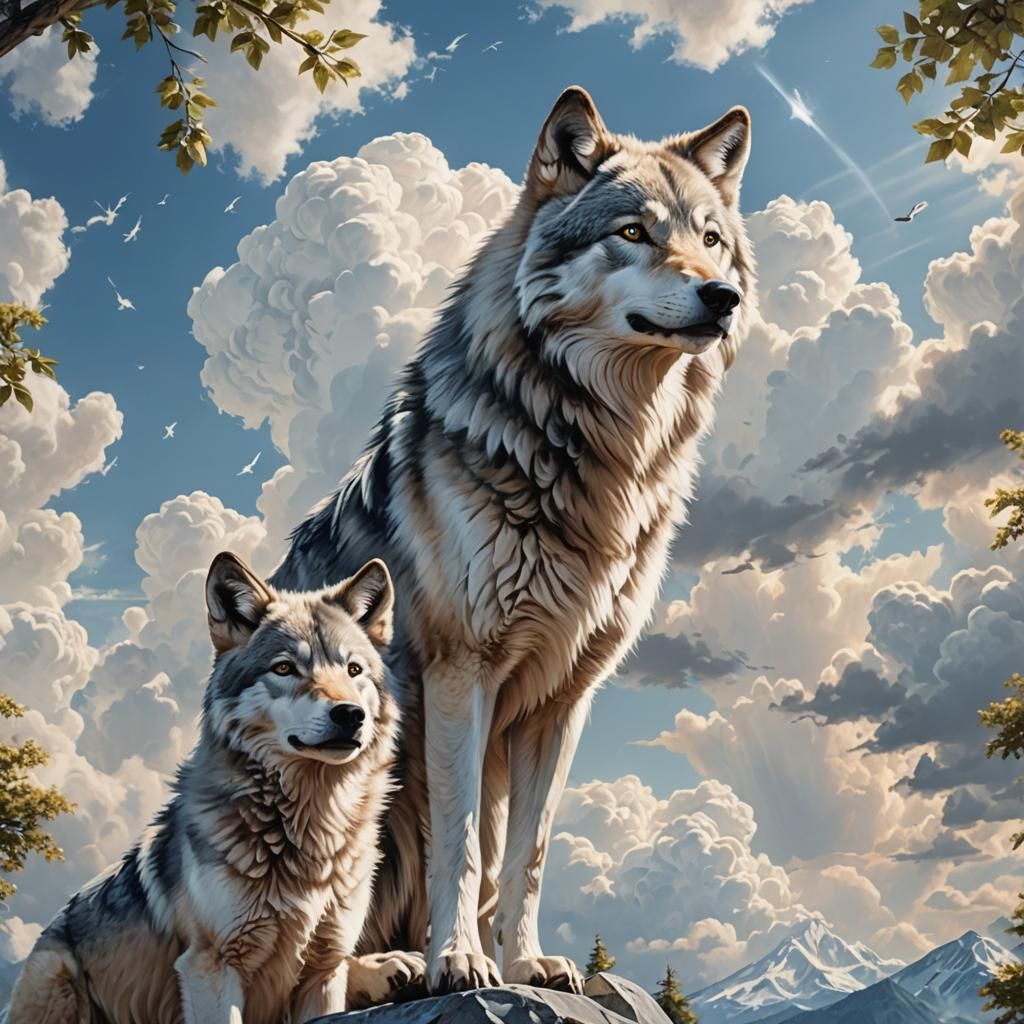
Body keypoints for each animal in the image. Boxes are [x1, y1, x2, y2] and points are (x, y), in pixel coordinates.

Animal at [8, 553, 424, 1024]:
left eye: (354, 670)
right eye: (285, 668)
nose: (350, 714)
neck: (309, 826)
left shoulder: (323, 970)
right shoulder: (210, 966)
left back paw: (394, 966)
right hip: (59, 979)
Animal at [271, 85, 756, 995]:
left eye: (710, 239)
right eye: (632, 232)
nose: (723, 297)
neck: (601, 452)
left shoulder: (563, 700)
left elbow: (525, 853)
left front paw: (526, 962)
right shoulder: (462, 674)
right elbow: (462, 843)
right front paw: (459, 962)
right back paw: (389, 966)